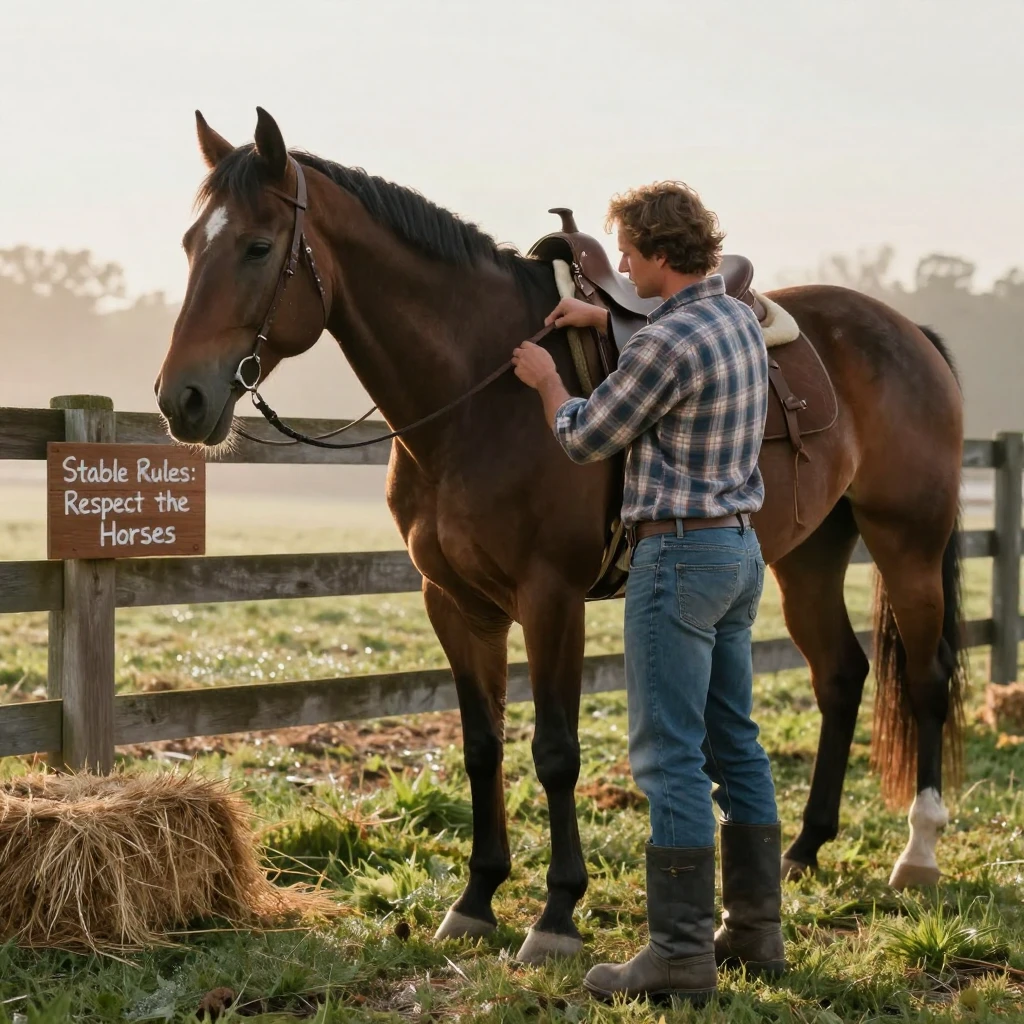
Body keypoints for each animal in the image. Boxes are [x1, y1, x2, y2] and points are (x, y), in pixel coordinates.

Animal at [154, 107, 966, 964]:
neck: (479, 394)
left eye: (257, 246)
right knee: (841, 675)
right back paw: (804, 849)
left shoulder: (551, 599)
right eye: (190, 243)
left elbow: (554, 751)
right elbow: (482, 746)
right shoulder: (454, 602)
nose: (181, 399)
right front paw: (476, 899)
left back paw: (918, 852)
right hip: (808, 556)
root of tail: (906, 331)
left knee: (926, 678)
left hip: (907, 543)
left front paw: (556, 914)